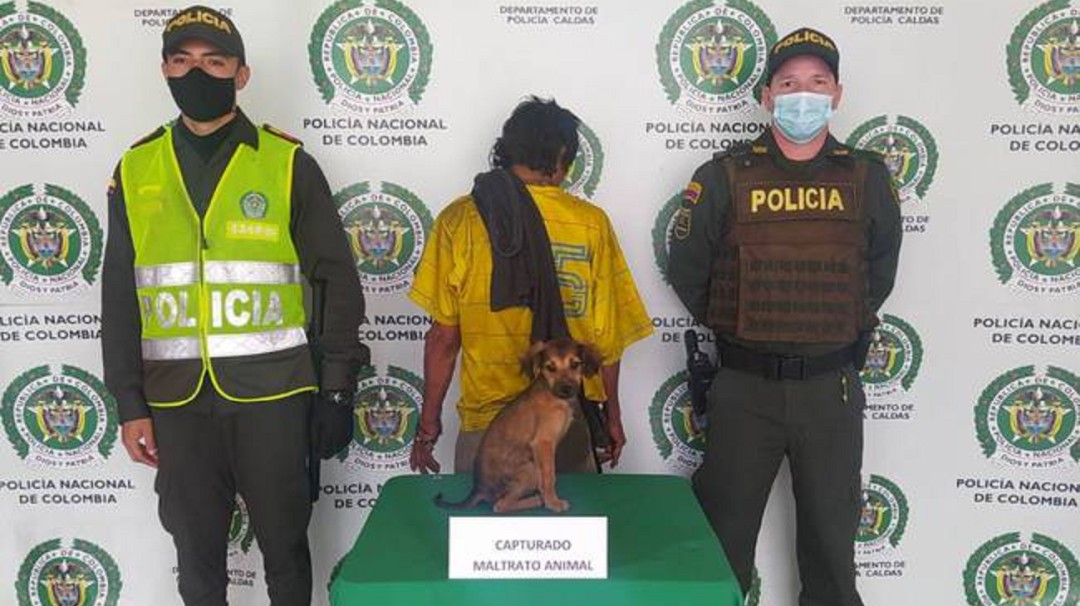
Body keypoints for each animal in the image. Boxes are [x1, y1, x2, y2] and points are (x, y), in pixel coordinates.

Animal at [432, 337, 600, 512]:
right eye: (550, 367)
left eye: (575, 364)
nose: (566, 389)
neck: (553, 395)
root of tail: (479, 489)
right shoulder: (543, 443)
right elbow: (549, 476)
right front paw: (553, 502)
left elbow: (546, 478)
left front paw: (549, 498)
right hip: (530, 469)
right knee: (500, 505)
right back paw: (536, 500)